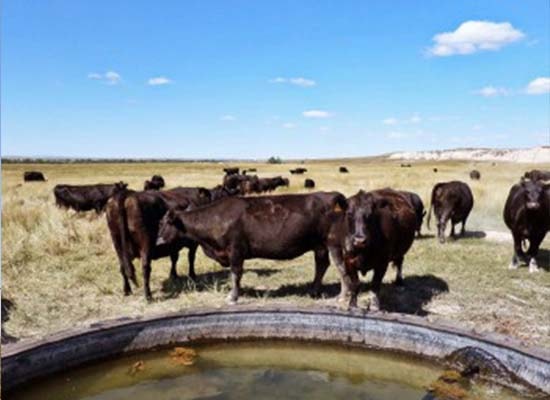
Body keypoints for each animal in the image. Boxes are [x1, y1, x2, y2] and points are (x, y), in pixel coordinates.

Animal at [158, 193, 350, 304]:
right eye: (160, 222)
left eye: (165, 223)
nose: (158, 242)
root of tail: (330, 195)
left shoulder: (235, 251)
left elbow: (236, 274)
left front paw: (233, 296)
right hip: (319, 246)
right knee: (322, 265)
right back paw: (314, 290)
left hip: (333, 243)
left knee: (340, 267)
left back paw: (342, 296)